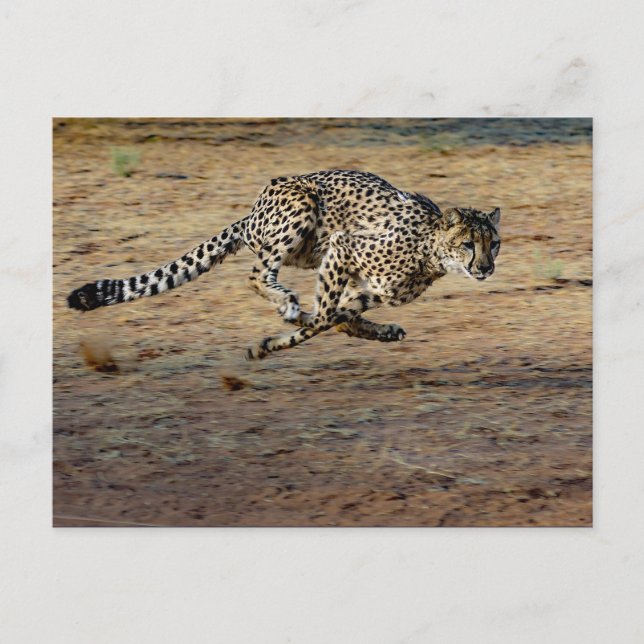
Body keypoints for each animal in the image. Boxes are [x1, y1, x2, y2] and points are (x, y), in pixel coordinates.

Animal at [67, 170, 501, 360]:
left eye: (493, 244)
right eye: (468, 244)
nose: (485, 268)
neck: (431, 251)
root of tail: (252, 211)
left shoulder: (372, 290)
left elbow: (336, 318)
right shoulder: (343, 246)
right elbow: (324, 317)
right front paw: (275, 338)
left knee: (330, 313)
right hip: (302, 208)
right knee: (257, 274)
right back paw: (288, 304)